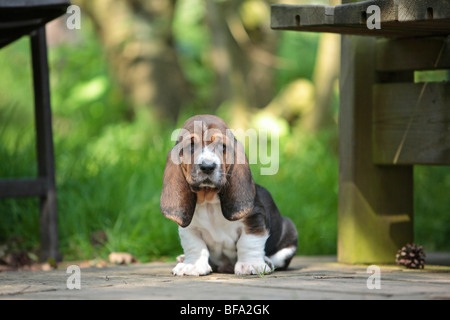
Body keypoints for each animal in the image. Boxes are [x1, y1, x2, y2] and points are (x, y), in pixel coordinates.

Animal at [160, 115, 298, 276]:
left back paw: (267, 261)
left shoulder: (254, 219)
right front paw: (192, 265)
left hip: (289, 230)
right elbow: (194, 245)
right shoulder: (189, 228)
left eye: (222, 146)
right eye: (191, 146)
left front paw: (250, 265)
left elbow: (249, 242)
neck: (209, 202)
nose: (207, 167)